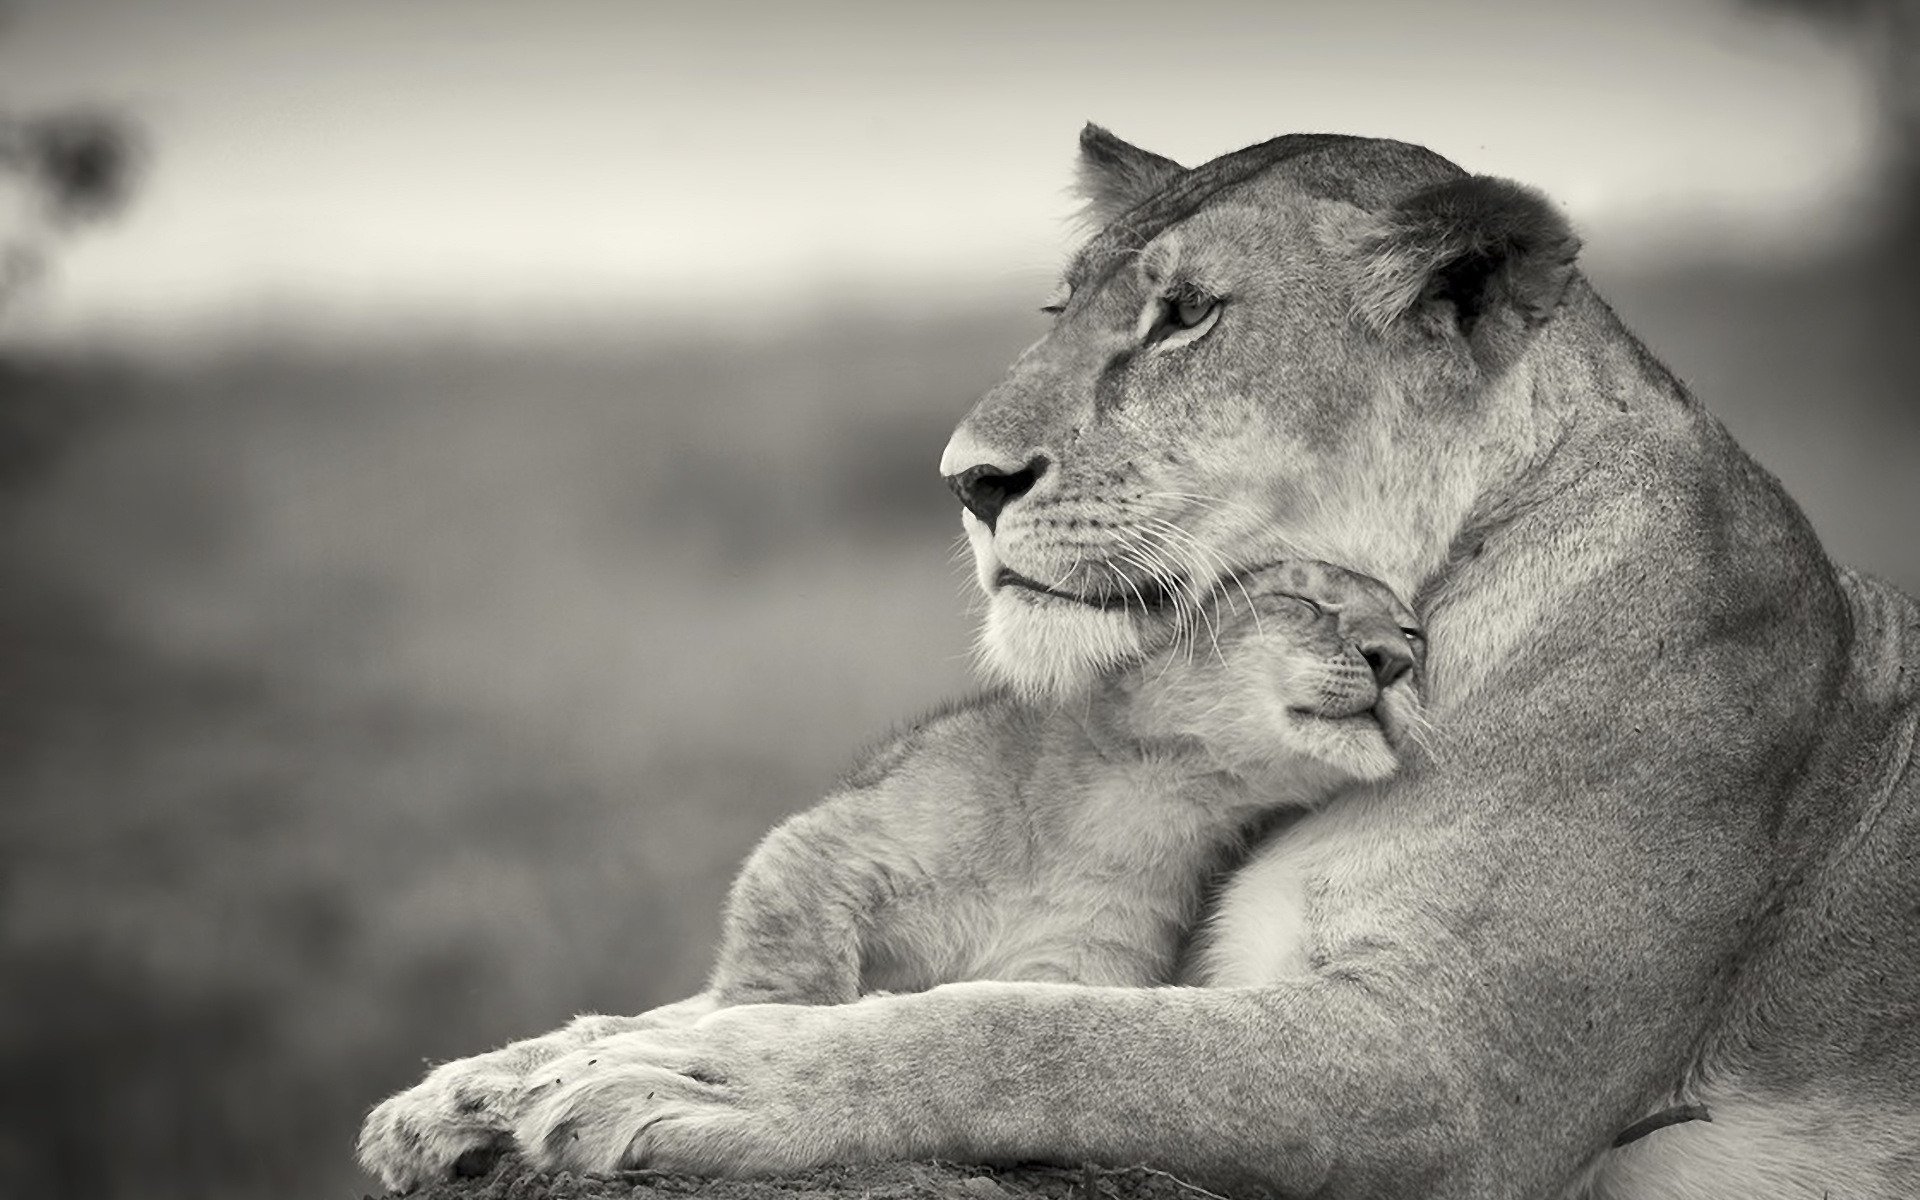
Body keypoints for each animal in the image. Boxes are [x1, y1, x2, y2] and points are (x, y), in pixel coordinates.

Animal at [359, 128, 1920, 1199]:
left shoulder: (1459, 1072)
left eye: (1187, 316)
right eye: (1062, 314)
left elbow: (1043, 1035)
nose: (967, 481)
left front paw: (705, 1078)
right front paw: (484, 1086)